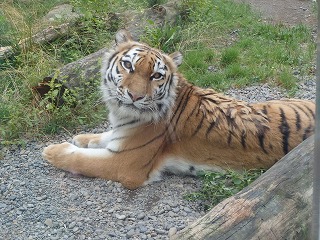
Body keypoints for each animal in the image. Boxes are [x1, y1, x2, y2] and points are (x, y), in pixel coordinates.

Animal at [42, 29, 316, 189]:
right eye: (128, 65)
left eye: (155, 75)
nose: (134, 96)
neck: (124, 113)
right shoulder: (120, 136)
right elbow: (102, 136)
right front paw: (82, 137)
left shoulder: (127, 164)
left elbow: (81, 159)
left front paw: (53, 150)